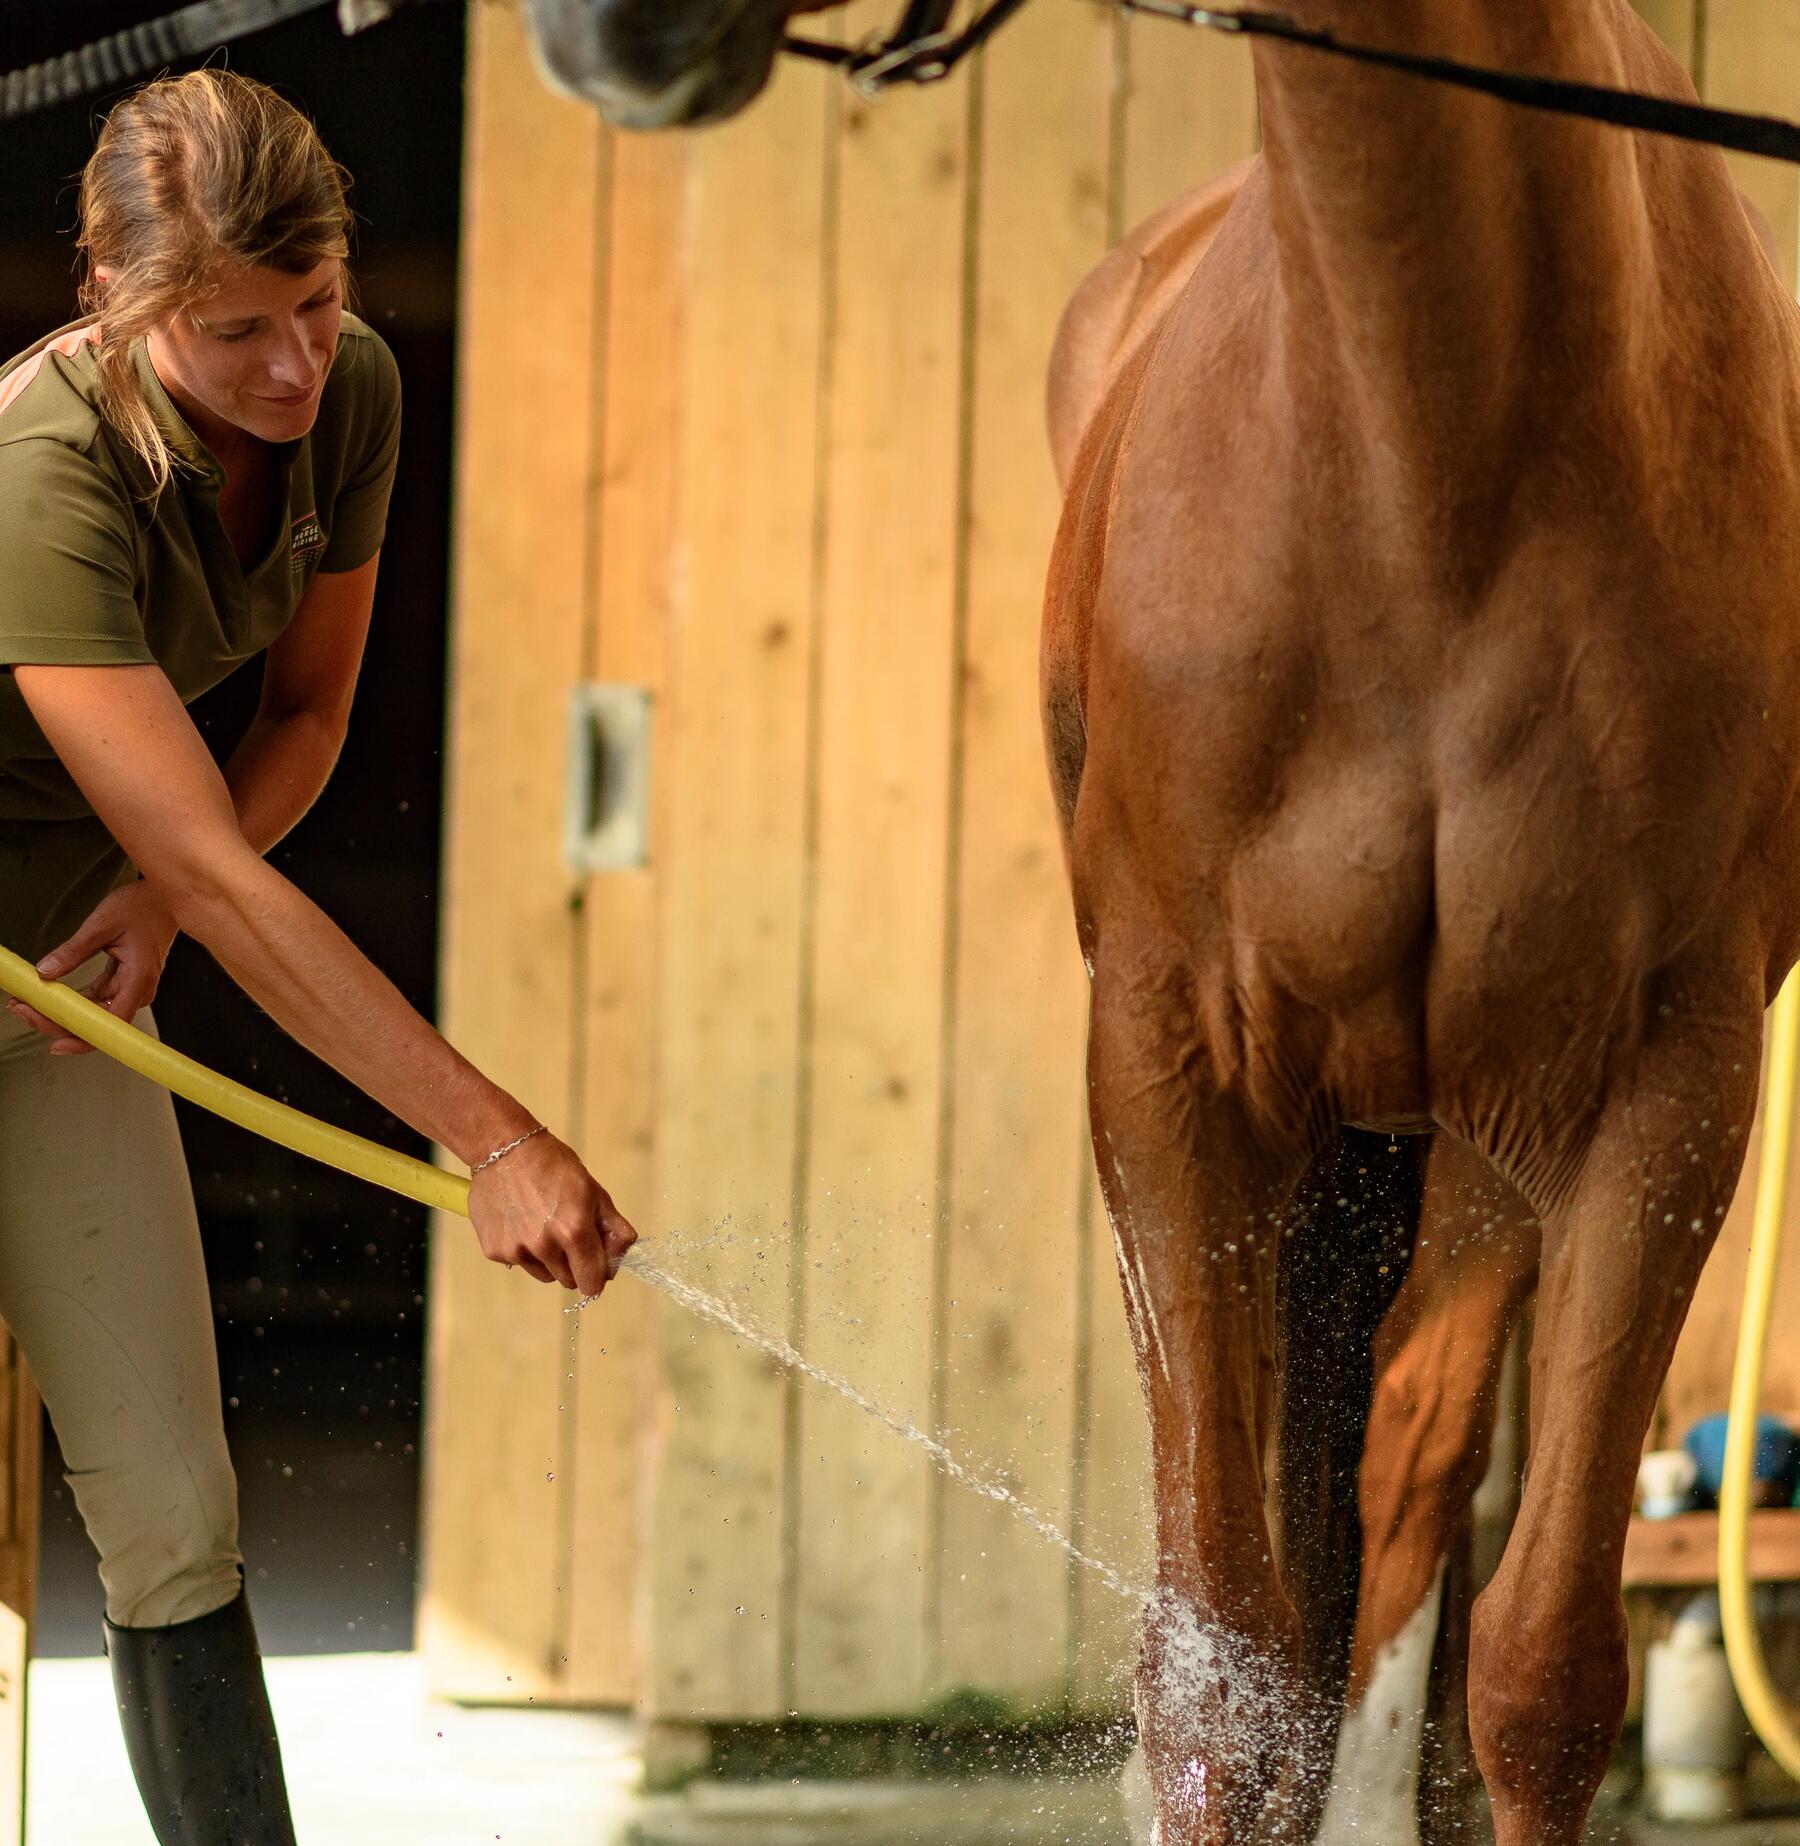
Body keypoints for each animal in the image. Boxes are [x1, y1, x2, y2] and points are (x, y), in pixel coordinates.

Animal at [539, 7, 1800, 1838]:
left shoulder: (1660, 1088)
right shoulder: (1169, 1065)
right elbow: (1212, 1669)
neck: (1433, 443)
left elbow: (1543, 1671)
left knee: (1408, 1447)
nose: (603, 36)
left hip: (1480, 1133)